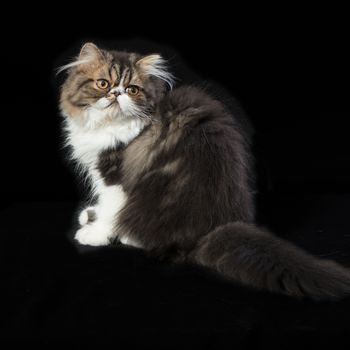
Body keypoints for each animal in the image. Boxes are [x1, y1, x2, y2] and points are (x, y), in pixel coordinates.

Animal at [58, 42, 350, 300]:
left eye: (132, 89)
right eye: (103, 84)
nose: (117, 94)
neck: (107, 125)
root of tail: (213, 229)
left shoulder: (115, 176)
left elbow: (111, 210)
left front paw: (95, 234)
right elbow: (103, 204)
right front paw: (91, 215)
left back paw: (129, 235)